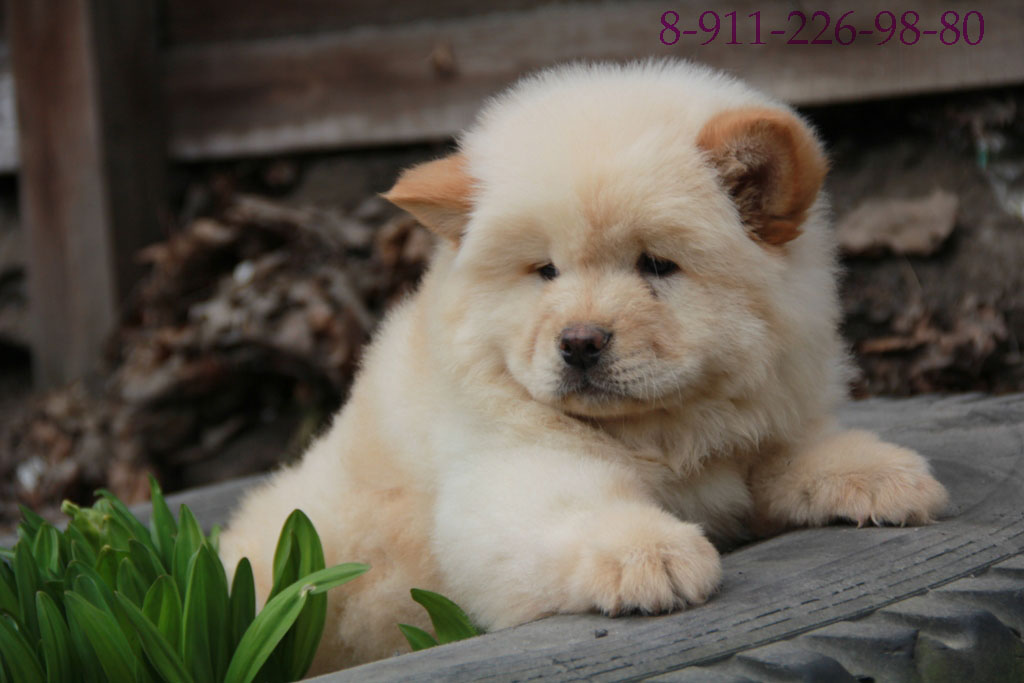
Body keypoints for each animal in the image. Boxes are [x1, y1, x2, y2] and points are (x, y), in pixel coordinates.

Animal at [220, 60, 946, 671]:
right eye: (545, 271)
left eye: (656, 264)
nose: (579, 341)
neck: (669, 431)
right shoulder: (511, 463)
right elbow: (574, 508)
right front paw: (649, 555)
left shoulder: (763, 420)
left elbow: (793, 454)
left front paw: (879, 476)